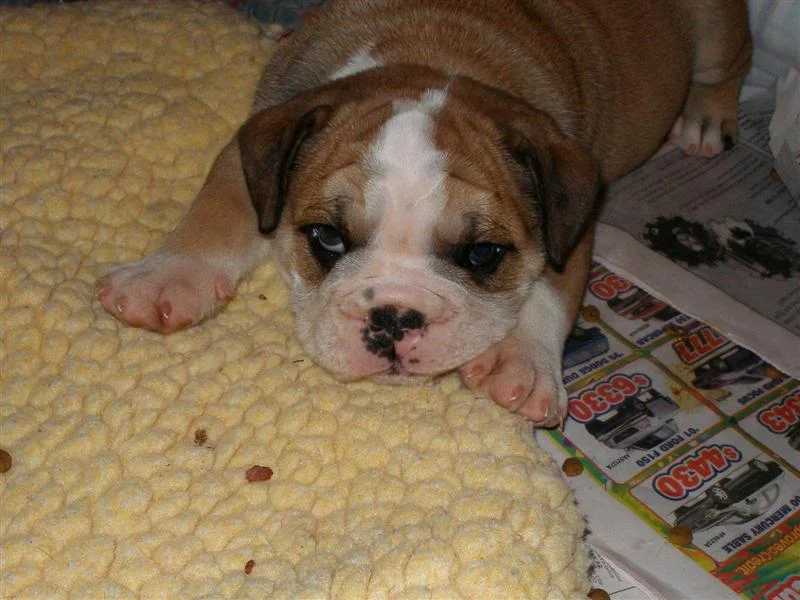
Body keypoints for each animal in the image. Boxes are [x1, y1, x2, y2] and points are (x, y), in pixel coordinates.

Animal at [98, 0, 751, 427]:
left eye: (483, 254)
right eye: (326, 238)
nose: (393, 315)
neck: (430, 57)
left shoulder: (575, 215)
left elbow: (550, 286)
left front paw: (519, 361)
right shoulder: (253, 150)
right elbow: (218, 205)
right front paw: (164, 276)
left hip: (716, 32)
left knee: (730, 65)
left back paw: (704, 121)